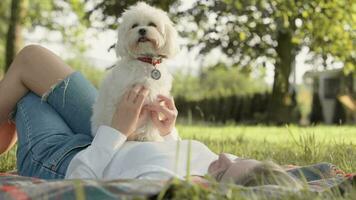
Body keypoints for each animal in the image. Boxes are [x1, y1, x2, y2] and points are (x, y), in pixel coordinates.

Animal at [91, 2, 178, 141]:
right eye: (134, 25)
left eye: (152, 24)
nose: (142, 30)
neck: (145, 61)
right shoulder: (119, 97)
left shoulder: (154, 101)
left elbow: (151, 121)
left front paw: (149, 137)